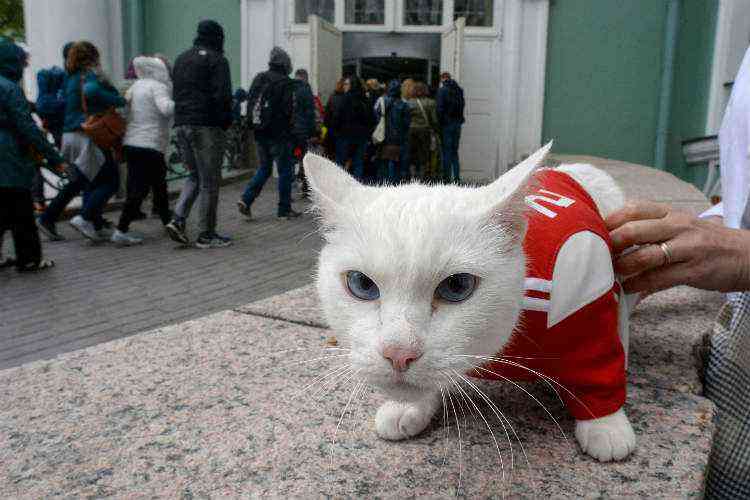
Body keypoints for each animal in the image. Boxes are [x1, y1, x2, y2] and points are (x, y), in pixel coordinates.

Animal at [302, 143, 636, 462]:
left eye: (457, 286)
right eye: (361, 284)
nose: (399, 353)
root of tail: (575, 167)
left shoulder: (587, 302)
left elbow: (598, 367)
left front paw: (605, 424)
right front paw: (408, 407)